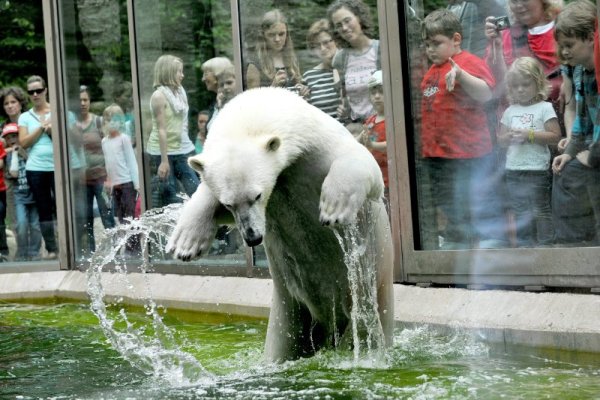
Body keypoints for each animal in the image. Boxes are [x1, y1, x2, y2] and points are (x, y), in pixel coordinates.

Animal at [168, 87, 394, 362]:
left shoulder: (319, 148)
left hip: (374, 292)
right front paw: (185, 245)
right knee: (283, 344)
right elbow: (207, 195)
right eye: (229, 204)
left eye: (257, 195)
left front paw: (334, 209)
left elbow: (363, 163)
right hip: (289, 311)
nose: (252, 237)